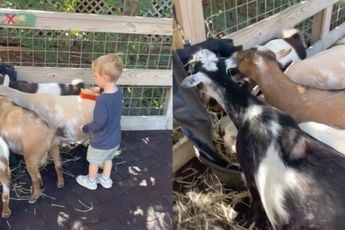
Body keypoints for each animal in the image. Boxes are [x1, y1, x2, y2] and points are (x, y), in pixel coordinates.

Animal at [181, 48, 345, 228]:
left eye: (193, 67)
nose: (194, 52)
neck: (253, 111)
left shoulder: (248, 171)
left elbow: (256, 202)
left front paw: (247, 220)